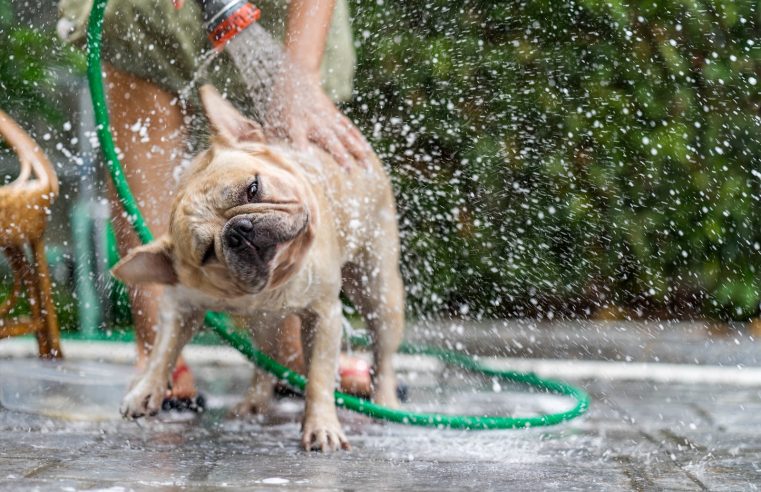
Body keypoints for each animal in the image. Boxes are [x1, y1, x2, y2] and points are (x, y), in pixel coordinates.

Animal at [112, 84, 404, 450]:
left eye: (253, 188)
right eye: (207, 253)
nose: (238, 230)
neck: (276, 278)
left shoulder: (323, 316)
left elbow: (319, 378)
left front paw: (322, 426)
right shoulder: (181, 303)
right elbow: (163, 349)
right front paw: (146, 390)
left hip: (379, 293)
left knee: (383, 354)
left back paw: (385, 403)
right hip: (264, 324)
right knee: (265, 359)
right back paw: (254, 402)